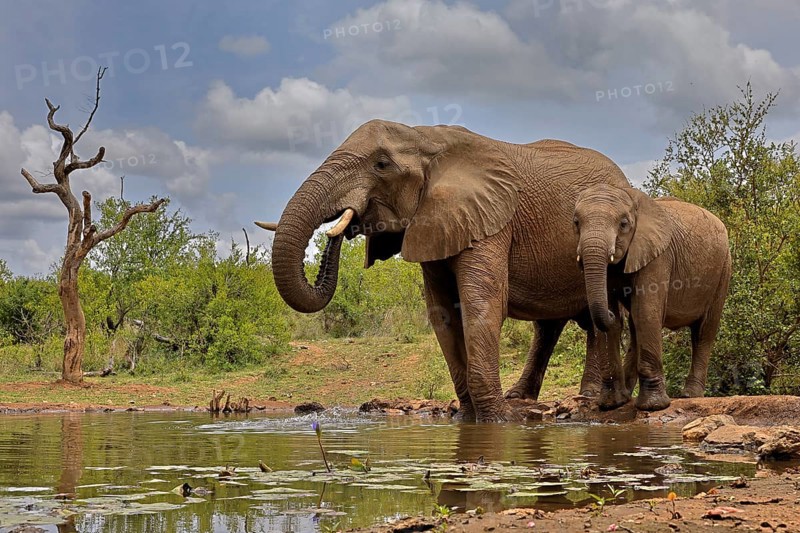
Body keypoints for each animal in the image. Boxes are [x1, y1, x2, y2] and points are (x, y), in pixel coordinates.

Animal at [257, 120, 631, 422]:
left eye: (381, 165)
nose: (343, 225)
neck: (425, 138)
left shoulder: (491, 221)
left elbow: (482, 308)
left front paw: (499, 421)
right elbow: (442, 313)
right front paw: (469, 417)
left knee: (595, 317)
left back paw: (585, 396)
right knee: (549, 325)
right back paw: (522, 397)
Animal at [572, 184, 731, 410]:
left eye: (623, 224)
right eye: (576, 223)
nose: (611, 313)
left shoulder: (659, 256)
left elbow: (646, 312)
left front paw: (653, 406)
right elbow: (618, 324)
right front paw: (612, 404)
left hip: (723, 270)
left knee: (703, 332)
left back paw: (689, 395)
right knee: (635, 329)